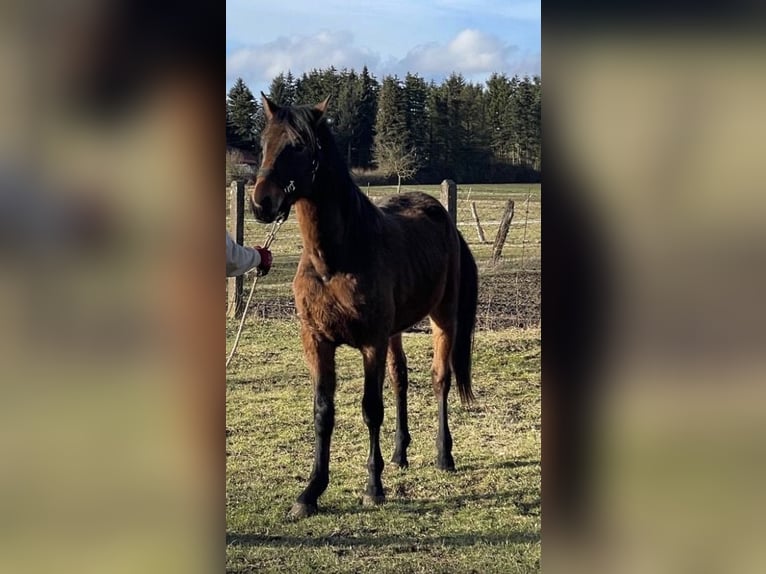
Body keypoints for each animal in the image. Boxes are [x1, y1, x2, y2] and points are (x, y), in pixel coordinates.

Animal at [250, 93, 479, 520]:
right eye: (264, 143)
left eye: (300, 146)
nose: (261, 203)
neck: (334, 259)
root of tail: (443, 217)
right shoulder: (317, 341)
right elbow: (323, 412)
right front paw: (310, 492)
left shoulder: (371, 341)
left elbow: (371, 408)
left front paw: (374, 487)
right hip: (395, 331)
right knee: (400, 378)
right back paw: (400, 453)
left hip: (443, 317)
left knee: (440, 378)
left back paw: (444, 455)